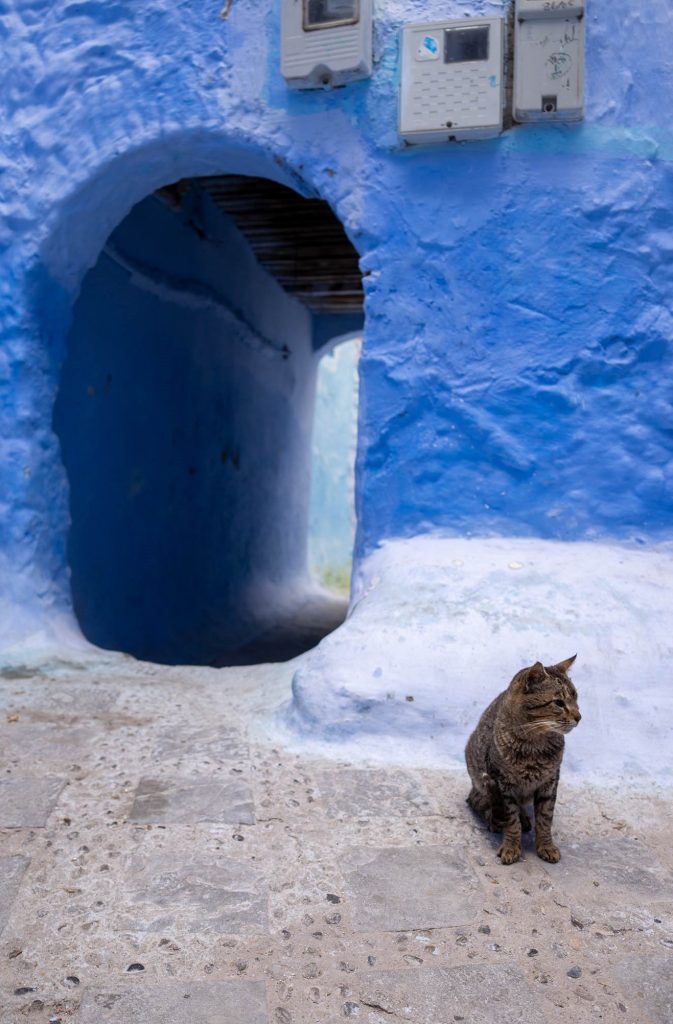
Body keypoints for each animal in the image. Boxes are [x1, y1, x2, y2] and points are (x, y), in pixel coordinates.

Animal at [465, 655, 581, 864]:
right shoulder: (502, 783)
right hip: (480, 777)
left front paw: (546, 845)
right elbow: (511, 820)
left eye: (576, 697)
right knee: (478, 801)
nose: (579, 716)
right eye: (559, 703)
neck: (534, 746)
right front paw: (511, 846)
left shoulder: (550, 782)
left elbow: (545, 818)